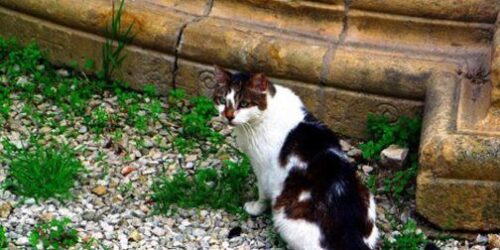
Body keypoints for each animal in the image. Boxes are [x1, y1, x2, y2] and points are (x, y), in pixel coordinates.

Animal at [211, 66, 378, 250]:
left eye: (244, 104)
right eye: (221, 100)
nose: (228, 116)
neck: (266, 112)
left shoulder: (264, 171)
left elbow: (262, 194)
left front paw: (255, 208)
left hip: (286, 220)